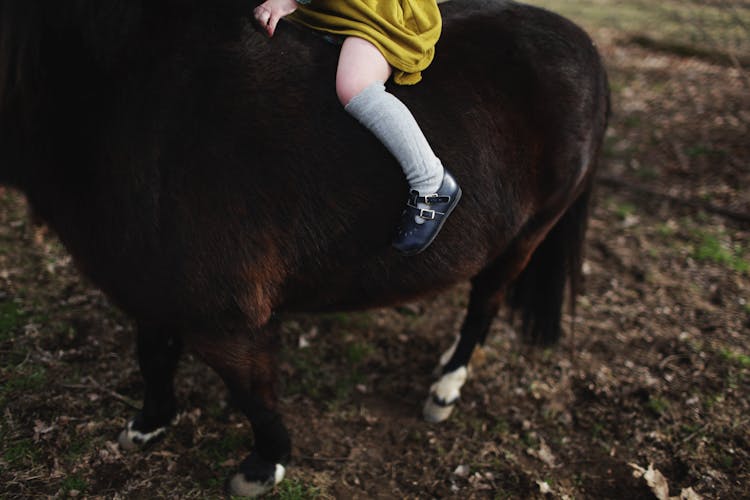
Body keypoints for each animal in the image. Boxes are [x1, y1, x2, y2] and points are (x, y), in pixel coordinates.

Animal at [0, 0, 612, 492]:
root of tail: (587, 46)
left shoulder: (224, 318)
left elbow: (251, 392)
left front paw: (263, 466)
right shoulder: (150, 287)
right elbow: (153, 355)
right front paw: (149, 424)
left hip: (525, 236)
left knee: (484, 304)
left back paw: (445, 386)